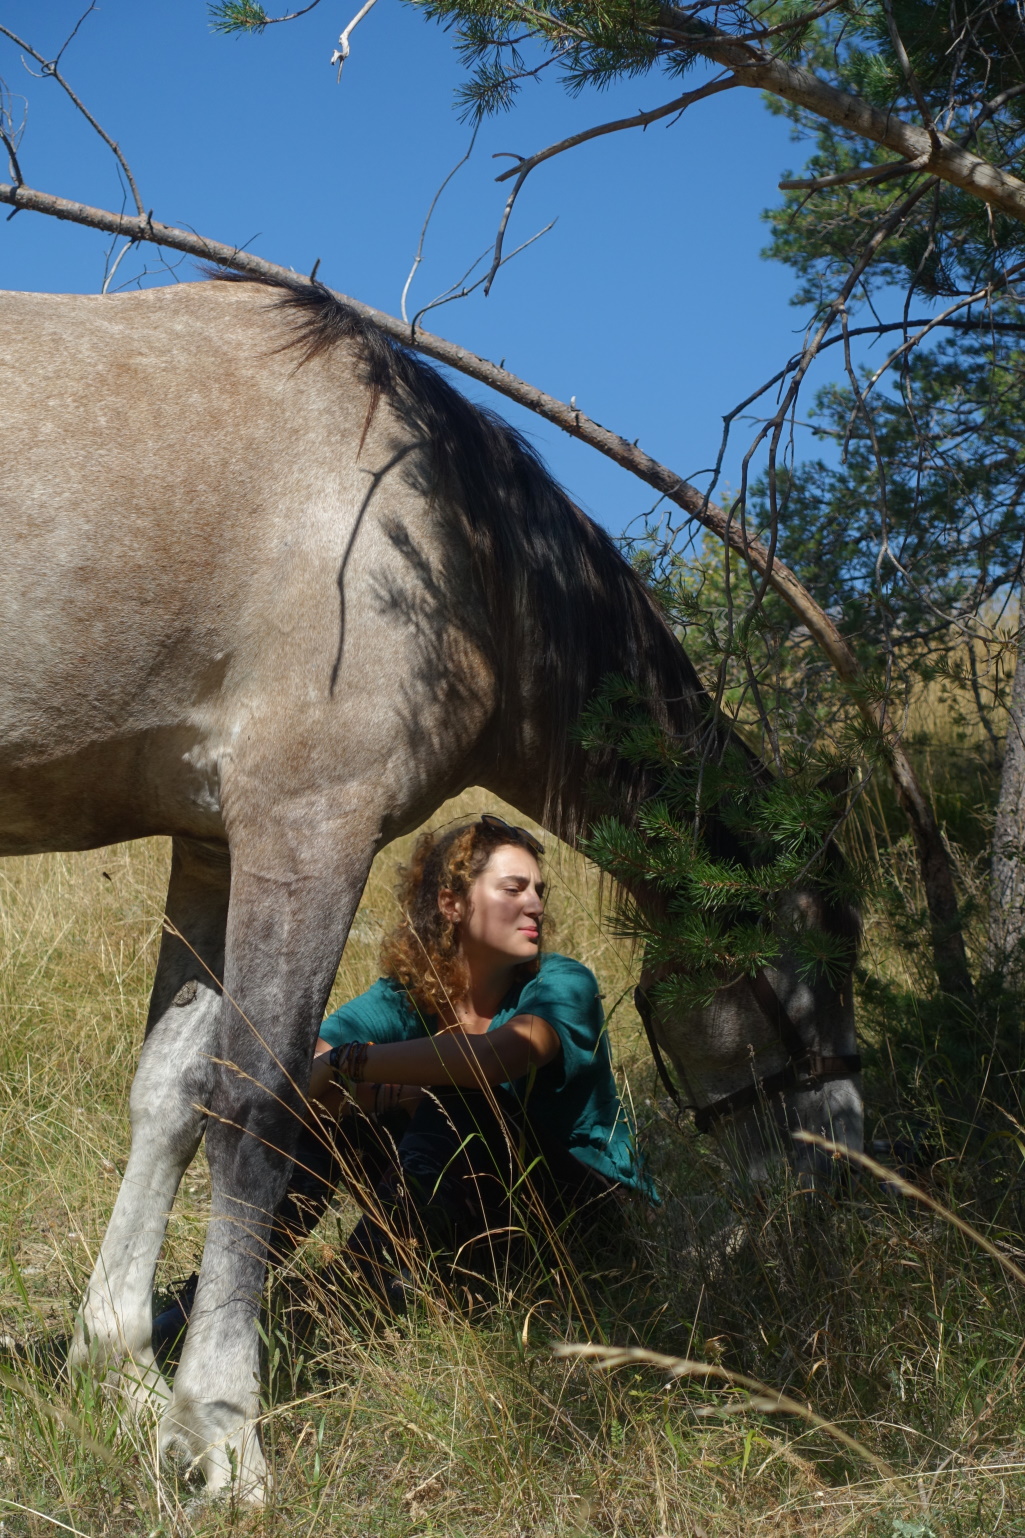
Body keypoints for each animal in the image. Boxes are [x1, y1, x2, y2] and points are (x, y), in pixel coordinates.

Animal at [0, 277, 861, 1500]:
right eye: (808, 967)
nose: (843, 1176)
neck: (447, 536)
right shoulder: (306, 826)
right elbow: (257, 1109)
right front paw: (220, 1424)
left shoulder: (213, 841)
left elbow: (169, 1095)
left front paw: (120, 1373)